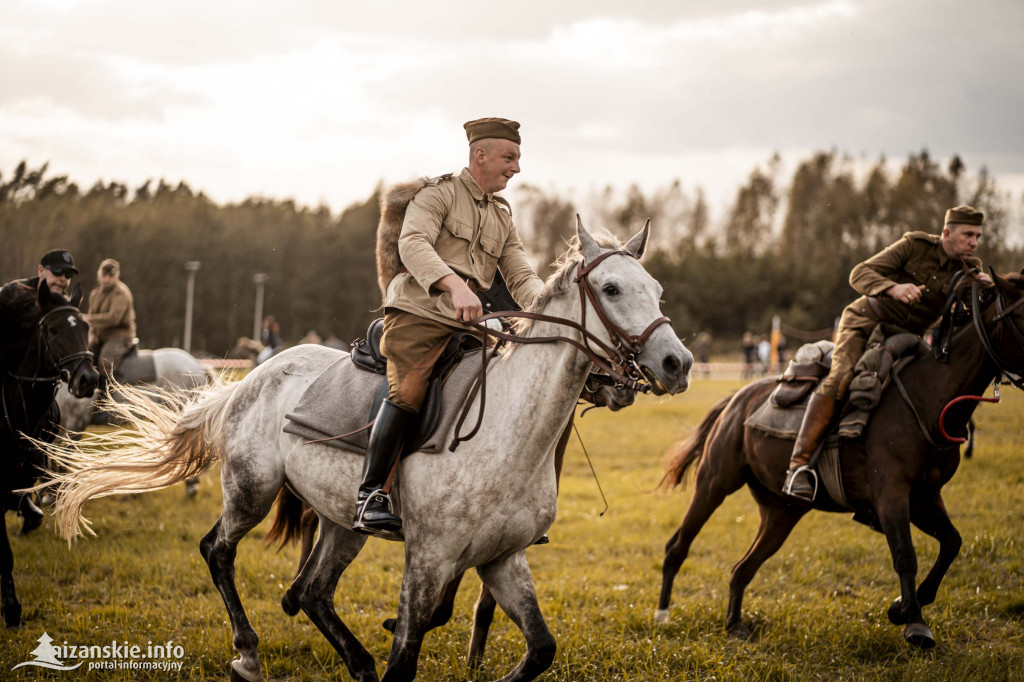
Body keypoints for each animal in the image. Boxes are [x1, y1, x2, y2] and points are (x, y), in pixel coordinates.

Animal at [41, 219, 696, 679]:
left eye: (658, 288)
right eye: (611, 287)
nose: (678, 363)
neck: (513, 434)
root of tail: (253, 377)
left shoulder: (502, 559)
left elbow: (539, 649)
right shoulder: (429, 560)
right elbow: (407, 650)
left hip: (340, 524)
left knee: (307, 591)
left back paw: (354, 662)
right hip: (251, 492)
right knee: (218, 551)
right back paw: (248, 653)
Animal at [655, 270, 1024, 647]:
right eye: (1022, 315)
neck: (926, 397)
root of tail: (735, 400)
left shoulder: (924, 496)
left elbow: (952, 542)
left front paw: (904, 606)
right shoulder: (891, 495)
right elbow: (905, 555)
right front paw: (914, 622)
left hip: (782, 512)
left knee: (741, 569)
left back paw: (734, 625)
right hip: (714, 484)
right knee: (677, 547)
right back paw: (664, 614)